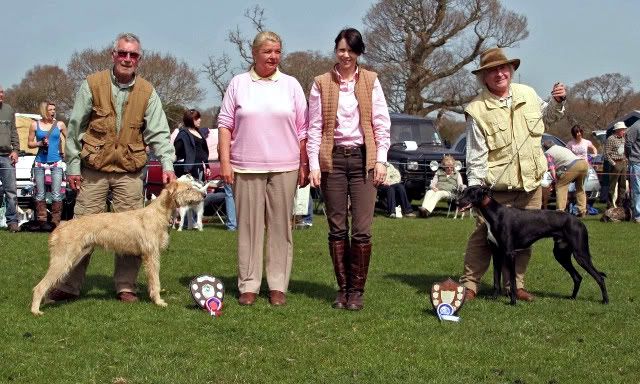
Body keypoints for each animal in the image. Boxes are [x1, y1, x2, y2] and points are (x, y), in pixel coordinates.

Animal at [30, 181, 202, 316]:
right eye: (188, 189)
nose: (204, 195)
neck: (159, 212)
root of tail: (61, 226)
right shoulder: (152, 256)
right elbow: (156, 281)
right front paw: (159, 301)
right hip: (64, 259)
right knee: (40, 286)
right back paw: (35, 310)